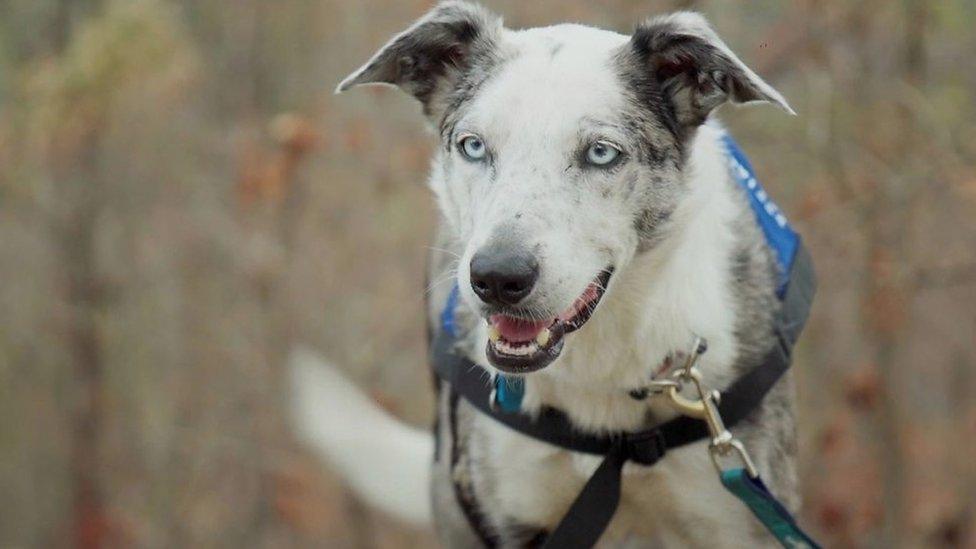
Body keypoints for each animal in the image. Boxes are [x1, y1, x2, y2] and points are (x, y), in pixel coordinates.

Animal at [292, 2, 808, 544]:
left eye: (601, 152)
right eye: (473, 146)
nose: (498, 278)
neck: (601, 357)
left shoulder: (739, 521)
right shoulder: (500, 517)